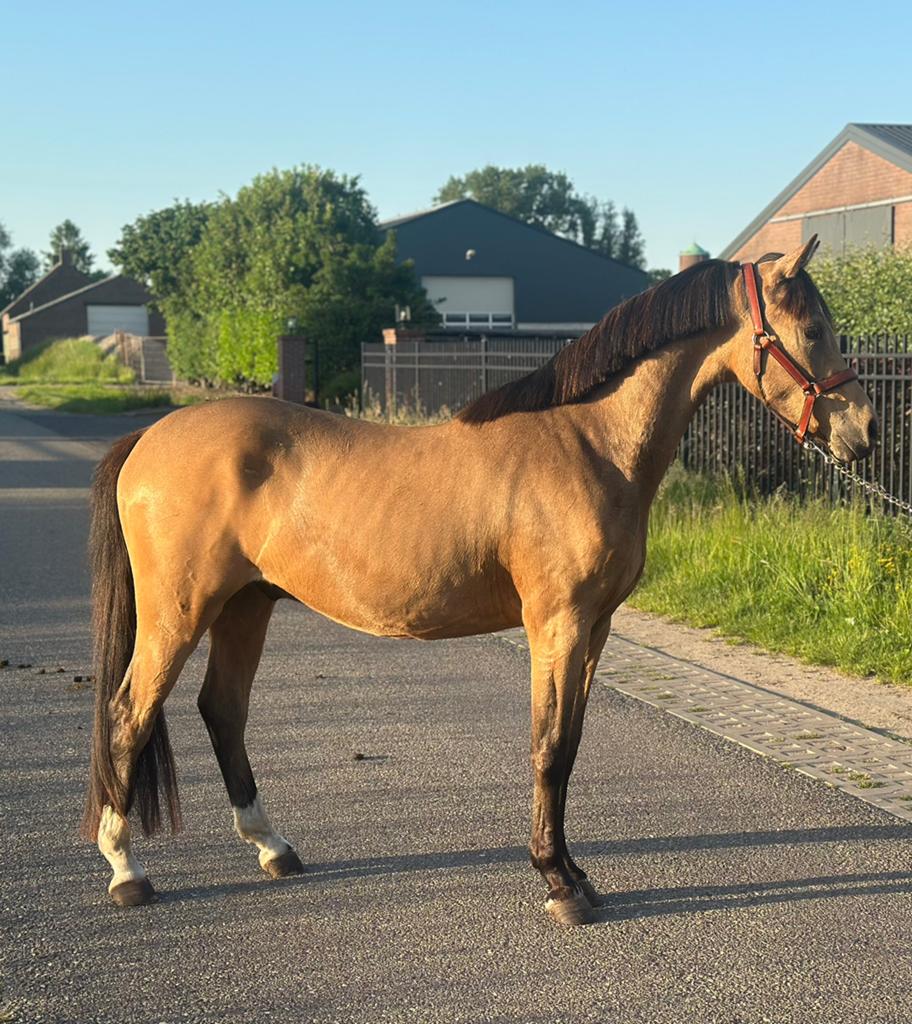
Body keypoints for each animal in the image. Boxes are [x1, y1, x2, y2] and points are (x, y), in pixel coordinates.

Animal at [83, 237, 876, 926]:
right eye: (812, 328)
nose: (864, 433)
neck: (586, 443)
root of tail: (147, 440)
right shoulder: (556, 622)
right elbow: (548, 747)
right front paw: (559, 884)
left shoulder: (595, 627)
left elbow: (570, 747)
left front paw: (576, 873)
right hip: (181, 611)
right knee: (129, 713)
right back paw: (125, 871)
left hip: (246, 605)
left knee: (222, 711)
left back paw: (273, 848)